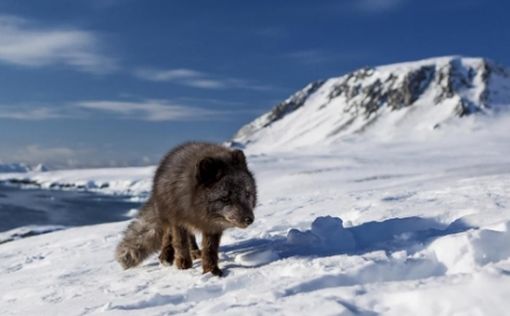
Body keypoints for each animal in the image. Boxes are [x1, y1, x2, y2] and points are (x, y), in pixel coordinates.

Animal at [117, 142, 256, 276]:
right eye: (225, 199)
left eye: (247, 194)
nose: (249, 219)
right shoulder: (177, 219)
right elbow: (180, 242)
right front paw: (184, 265)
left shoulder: (212, 226)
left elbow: (210, 249)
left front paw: (210, 270)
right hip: (167, 214)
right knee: (167, 236)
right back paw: (166, 256)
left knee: (191, 237)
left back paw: (194, 252)